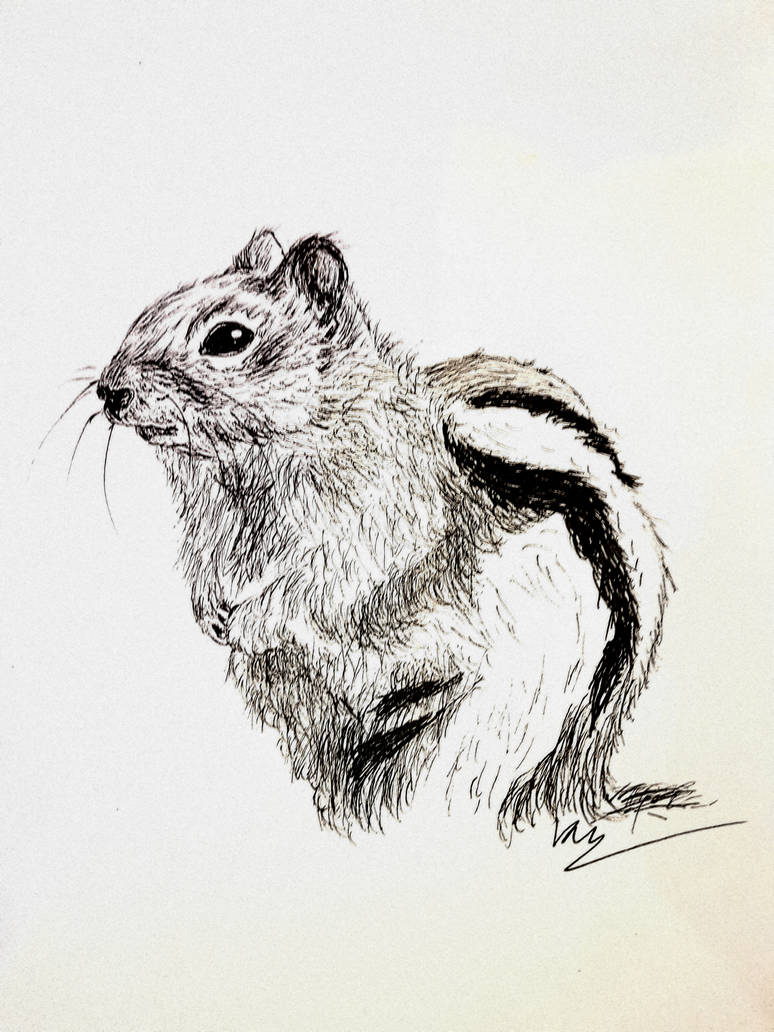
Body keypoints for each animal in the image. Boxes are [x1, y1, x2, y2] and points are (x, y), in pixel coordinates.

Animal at [95, 227, 683, 839]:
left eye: (228, 337)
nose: (108, 391)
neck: (249, 468)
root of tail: (584, 784)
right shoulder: (212, 531)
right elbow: (211, 567)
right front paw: (209, 607)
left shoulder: (376, 530)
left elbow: (324, 587)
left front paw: (254, 617)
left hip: (487, 730)